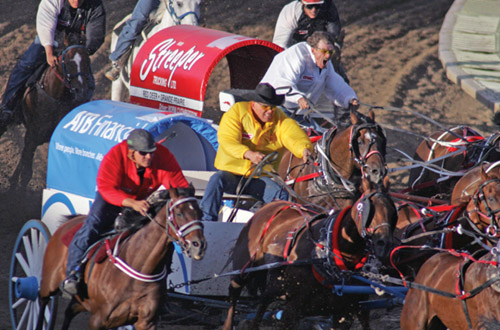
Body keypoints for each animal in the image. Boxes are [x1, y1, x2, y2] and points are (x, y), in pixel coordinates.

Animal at [6, 33, 94, 191]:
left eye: (87, 60)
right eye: (68, 61)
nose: (82, 91)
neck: (54, 97)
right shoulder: (32, 135)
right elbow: (27, 173)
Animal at [36, 187, 205, 328]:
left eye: (201, 214)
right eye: (179, 213)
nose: (199, 245)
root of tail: (70, 222)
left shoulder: (146, 321)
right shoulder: (97, 320)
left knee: (69, 311)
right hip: (49, 283)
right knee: (42, 300)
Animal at [223, 178, 398, 330]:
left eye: (392, 211)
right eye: (369, 209)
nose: (384, 243)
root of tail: (271, 205)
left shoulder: (345, 312)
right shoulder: (293, 309)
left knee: (264, 300)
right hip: (243, 266)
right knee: (235, 293)